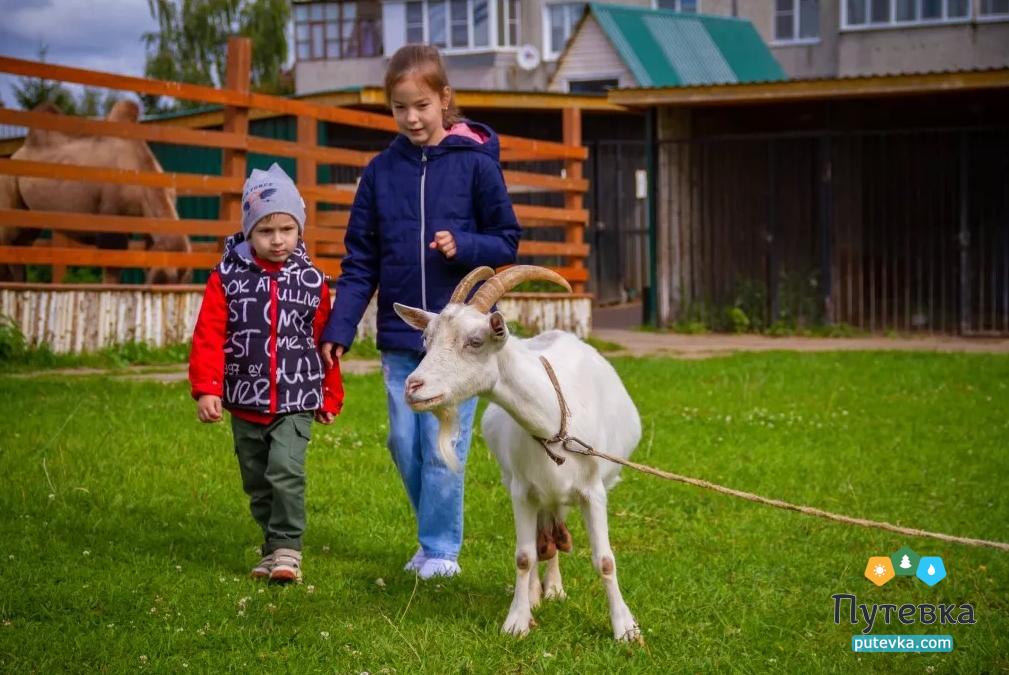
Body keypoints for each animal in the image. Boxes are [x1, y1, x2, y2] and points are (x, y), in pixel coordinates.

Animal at [389, 264, 641, 641]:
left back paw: (555, 589)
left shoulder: (593, 491)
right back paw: (540, 591)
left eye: (475, 341)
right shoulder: (522, 490)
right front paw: (517, 620)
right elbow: (524, 556)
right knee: (543, 538)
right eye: (426, 340)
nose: (413, 387)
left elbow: (605, 560)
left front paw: (625, 627)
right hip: (528, 488)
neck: (554, 419)